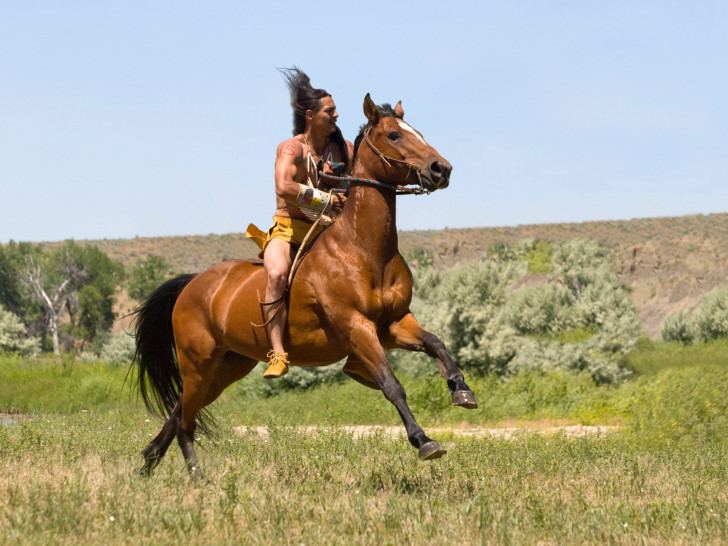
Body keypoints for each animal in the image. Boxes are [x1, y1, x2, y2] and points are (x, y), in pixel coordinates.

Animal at [132, 93, 478, 476]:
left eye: (417, 131)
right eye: (393, 135)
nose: (441, 169)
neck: (365, 249)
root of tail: (192, 284)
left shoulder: (393, 323)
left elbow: (436, 343)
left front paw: (461, 389)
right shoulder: (357, 327)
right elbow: (392, 386)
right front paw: (424, 441)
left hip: (227, 366)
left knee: (179, 412)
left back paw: (148, 465)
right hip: (198, 363)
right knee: (185, 420)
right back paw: (196, 475)